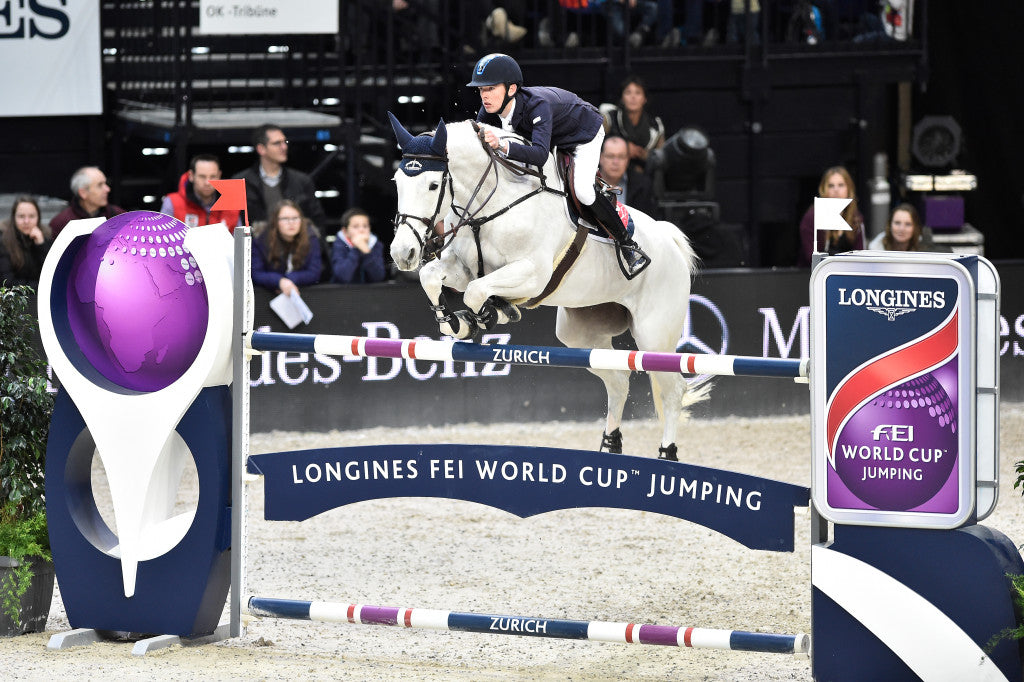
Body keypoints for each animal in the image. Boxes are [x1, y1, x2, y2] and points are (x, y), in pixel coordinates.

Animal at [387, 114, 708, 458]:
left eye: (433, 185)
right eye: (397, 182)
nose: (403, 253)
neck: (491, 202)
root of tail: (671, 241)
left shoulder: (532, 273)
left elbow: (477, 291)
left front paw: (491, 314)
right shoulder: (462, 268)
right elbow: (432, 277)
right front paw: (456, 323)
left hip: (654, 334)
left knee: (673, 390)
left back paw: (667, 453)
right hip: (581, 333)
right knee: (619, 379)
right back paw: (609, 446)